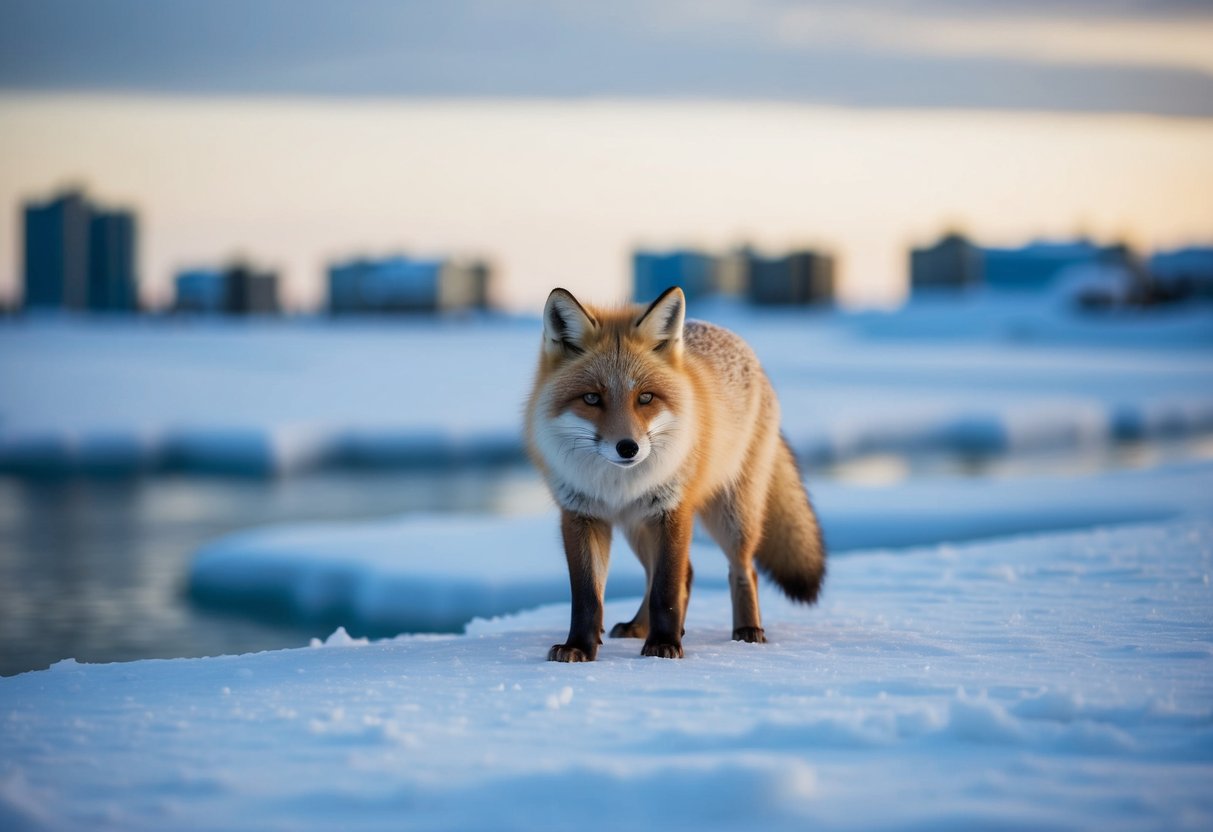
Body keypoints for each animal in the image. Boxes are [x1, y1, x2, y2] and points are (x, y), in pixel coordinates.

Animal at [525, 285, 826, 661]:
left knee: (743, 569)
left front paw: (664, 644)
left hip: (731, 516)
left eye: (646, 398)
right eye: (592, 398)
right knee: (681, 574)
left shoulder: (672, 510)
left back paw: (747, 630)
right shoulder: (581, 514)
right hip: (637, 527)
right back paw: (640, 627)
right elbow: (587, 598)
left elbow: (666, 591)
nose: (628, 448)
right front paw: (579, 646)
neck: (617, 486)